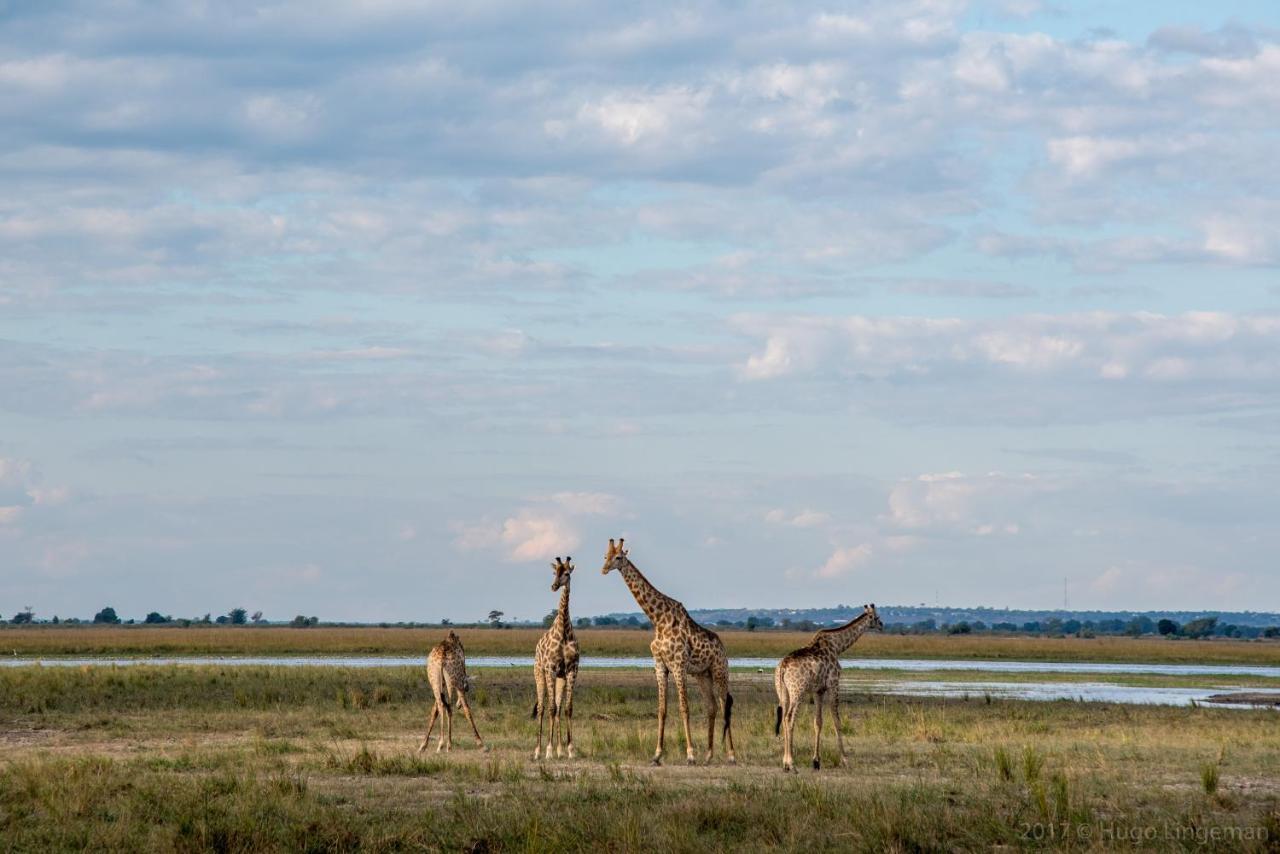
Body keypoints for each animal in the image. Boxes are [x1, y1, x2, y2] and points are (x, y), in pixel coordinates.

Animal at [529, 555, 581, 763]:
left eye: (566, 573)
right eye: (554, 572)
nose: (553, 586)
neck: (564, 631)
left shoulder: (571, 670)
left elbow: (567, 708)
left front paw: (569, 749)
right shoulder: (550, 669)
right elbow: (550, 708)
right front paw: (549, 750)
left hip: (560, 677)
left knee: (558, 708)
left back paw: (559, 750)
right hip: (539, 674)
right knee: (543, 708)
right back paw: (537, 751)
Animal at [596, 537, 737, 763]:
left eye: (618, 557)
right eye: (605, 556)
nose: (603, 569)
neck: (658, 619)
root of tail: (722, 647)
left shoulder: (678, 665)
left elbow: (684, 708)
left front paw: (690, 755)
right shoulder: (660, 665)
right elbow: (662, 710)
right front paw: (657, 754)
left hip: (719, 671)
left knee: (725, 705)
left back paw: (731, 755)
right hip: (702, 675)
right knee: (711, 707)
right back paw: (708, 755)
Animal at [773, 601, 885, 773]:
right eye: (876, 616)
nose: (882, 625)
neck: (838, 646)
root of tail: (783, 667)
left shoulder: (819, 690)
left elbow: (818, 722)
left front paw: (816, 762)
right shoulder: (833, 684)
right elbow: (837, 721)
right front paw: (845, 760)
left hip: (783, 693)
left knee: (785, 717)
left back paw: (785, 763)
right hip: (798, 692)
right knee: (789, 718)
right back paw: (791, 763)